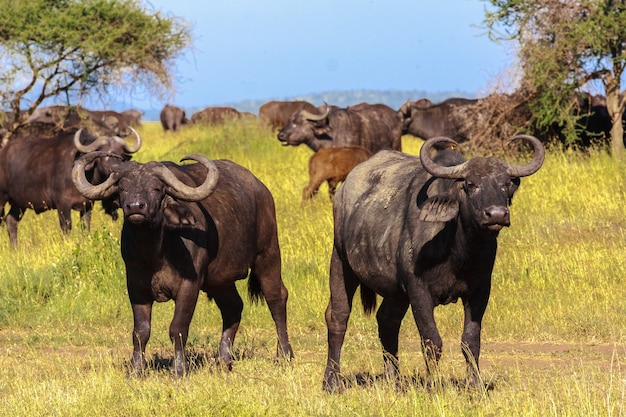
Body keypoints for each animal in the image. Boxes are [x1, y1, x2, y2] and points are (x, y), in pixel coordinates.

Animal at [0, 125, 141, 245]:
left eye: (120, 154)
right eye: (103, 152)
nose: (114, 168)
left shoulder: (87, 205)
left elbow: (85, 226)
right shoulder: (63, 205)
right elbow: (66, 227)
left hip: (19, 204)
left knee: (11, 221)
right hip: (3, 199)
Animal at [72, 151, 296, 376]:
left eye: (157, 188)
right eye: (123, 187)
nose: (135, 207)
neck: (155, 253)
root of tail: (263, 191)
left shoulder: (190, 285)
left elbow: (178, 328)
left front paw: (179, 370)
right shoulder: (135, 286)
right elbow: (140, 331)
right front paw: (136, 370)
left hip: (268, 255)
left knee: (276, 298)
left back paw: (284, 355)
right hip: (220, 281)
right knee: (233, 307)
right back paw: (223, 360)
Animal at [322, 134, 540, 390]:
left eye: (505, 184)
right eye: (470, 184)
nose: (496, 214)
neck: (459, 253)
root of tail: (342, 192)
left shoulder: (480, 291)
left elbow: (471, 341)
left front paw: (475, 385)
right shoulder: (418, 290)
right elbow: (432, 341)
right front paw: (433, 385)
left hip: (395, 292)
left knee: (387, 320)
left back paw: (393, 379)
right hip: (340, 261)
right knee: (338, 317)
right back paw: (331, 381)